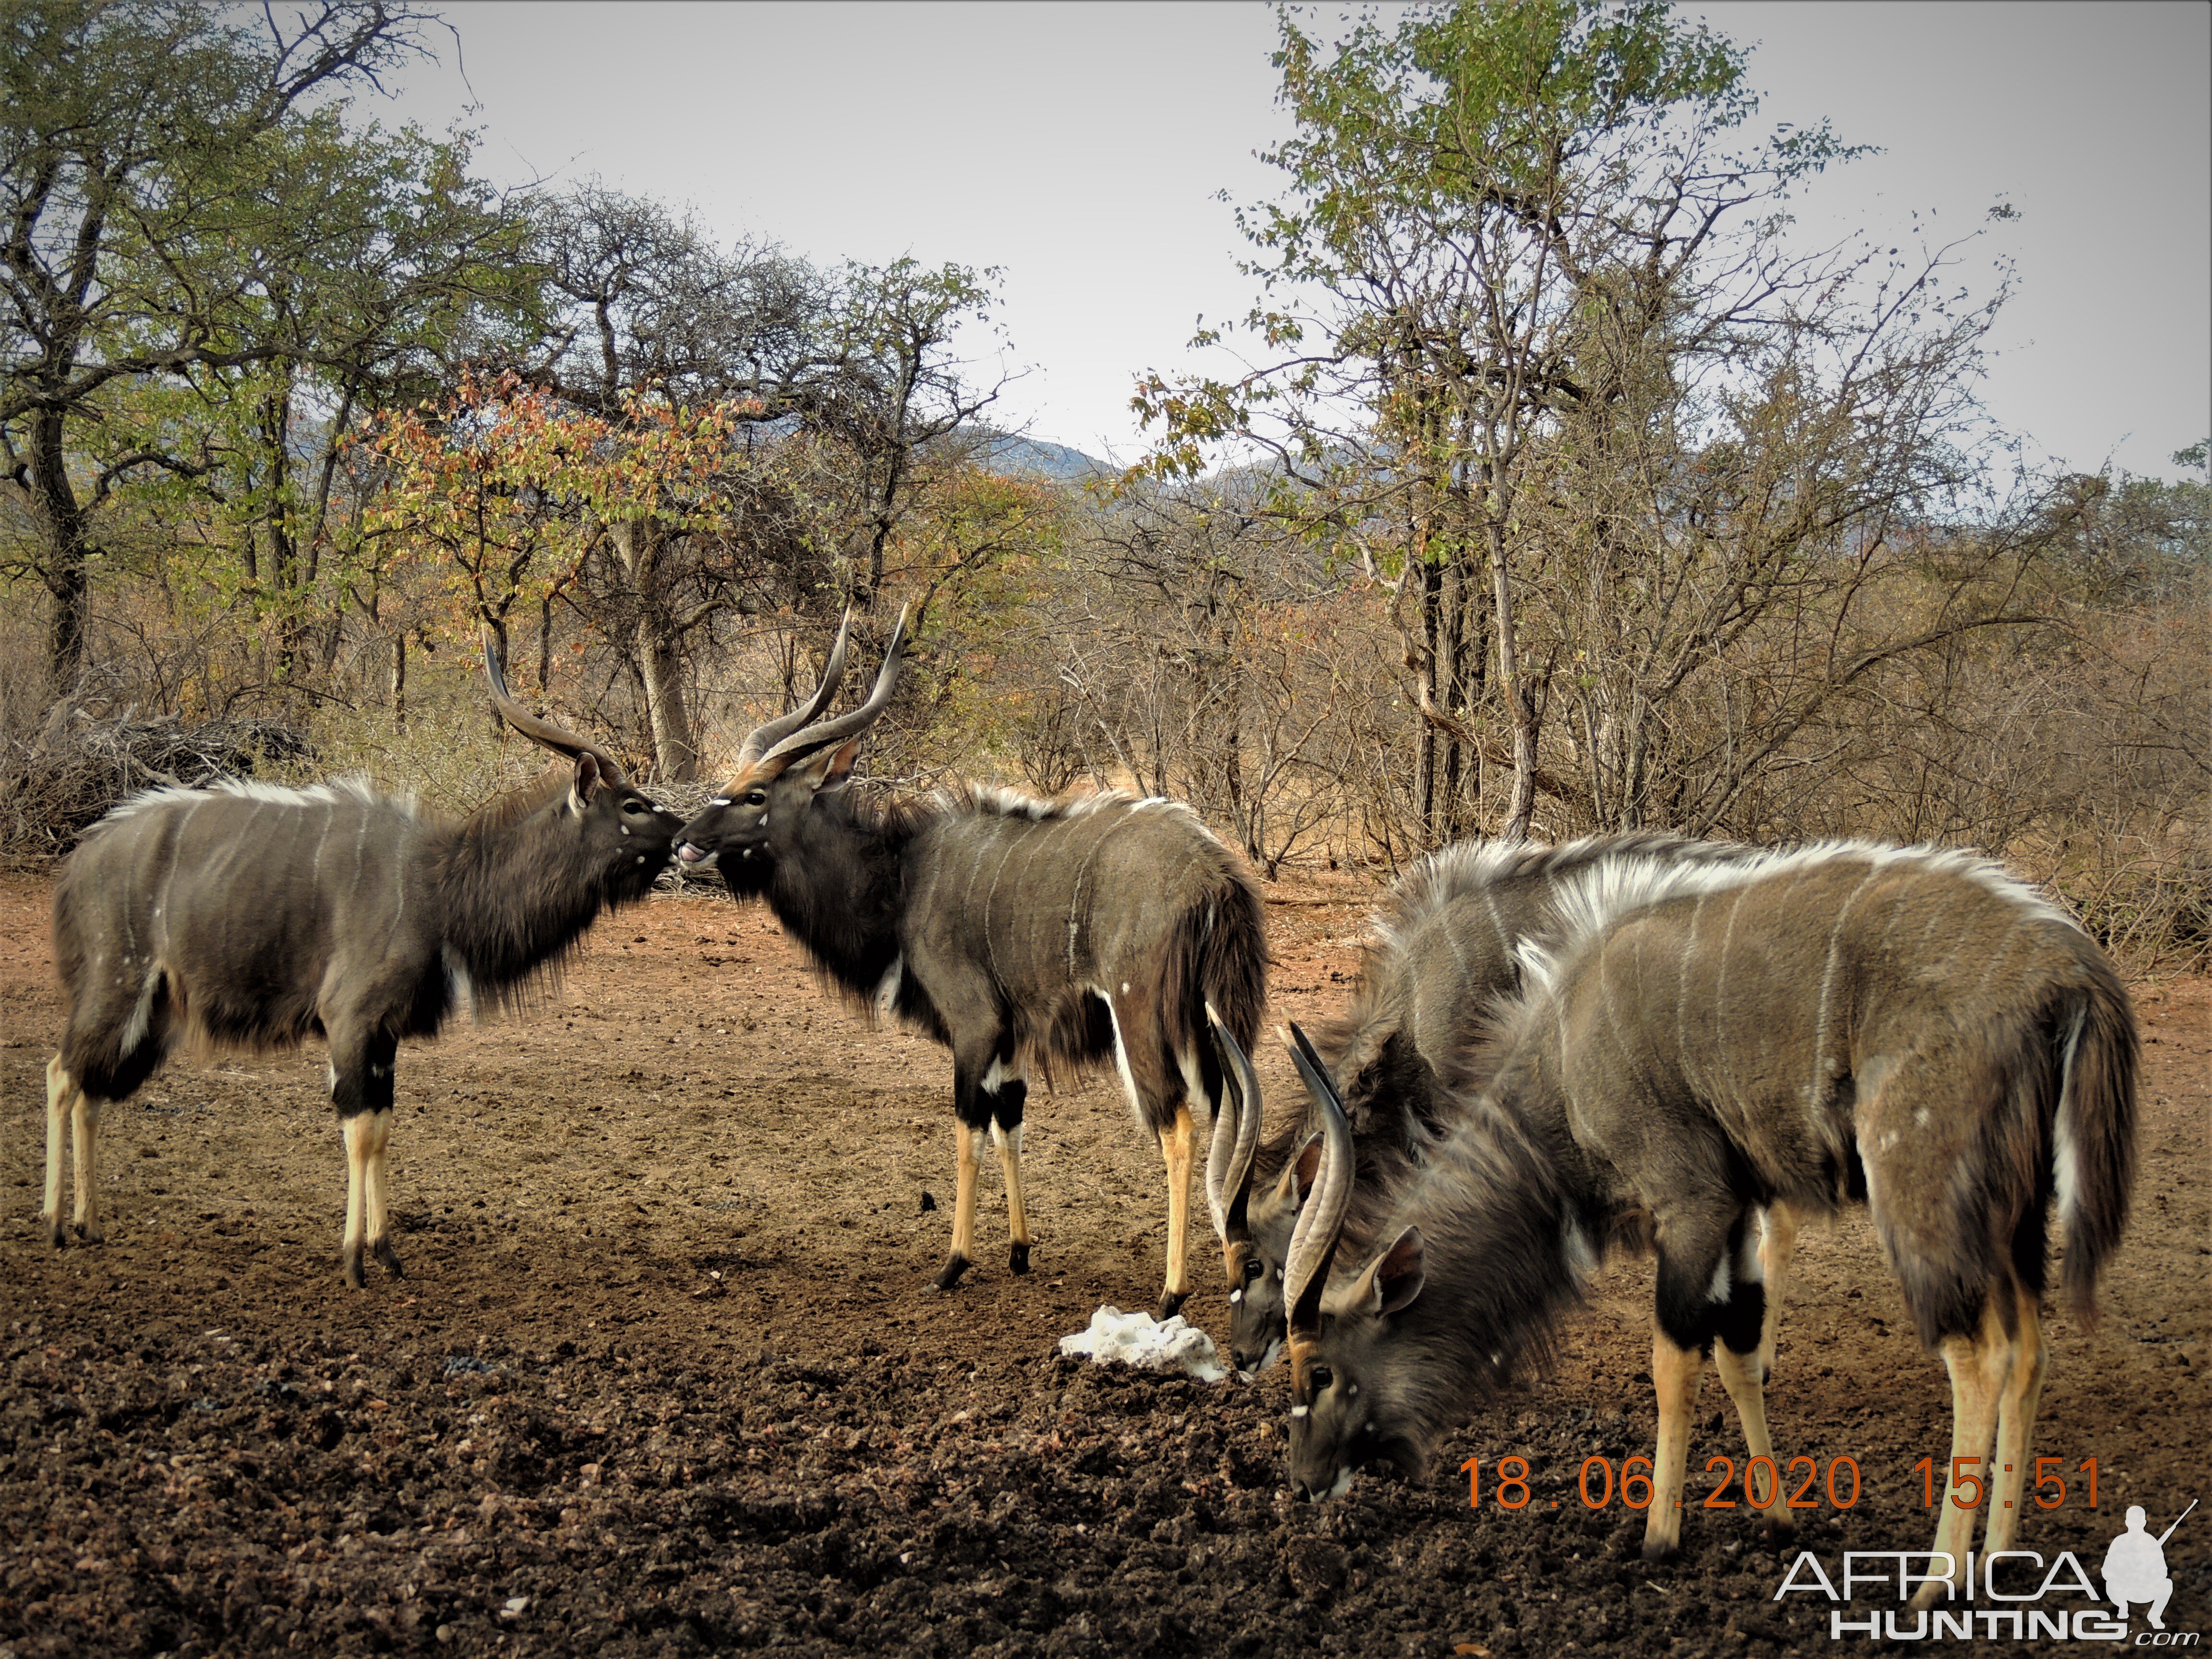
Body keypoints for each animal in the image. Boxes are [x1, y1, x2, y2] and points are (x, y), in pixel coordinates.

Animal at [45, 646, 681, 1283]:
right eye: (632, 805)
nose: (683, 835)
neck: (439, 886)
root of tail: (79, 862)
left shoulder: (384, 1033)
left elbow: (381, 1126)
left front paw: (387, 1252)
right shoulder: (350, 1018)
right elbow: (358, 1128)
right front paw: (354, 1260)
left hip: (151, 1015)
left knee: (91, 1088)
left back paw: (89, 1225)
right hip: (118, 986)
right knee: (62, 1073)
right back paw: (54, 1225)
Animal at [668, 606, 1265, 1318]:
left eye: (756, 795)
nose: (683, 841)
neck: (900, 880)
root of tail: (1213, 876)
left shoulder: (975, 1026)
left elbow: (967, 1129)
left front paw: (953, 1263)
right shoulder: (1010, 1038)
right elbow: (1010, 1120)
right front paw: (1019, 1251)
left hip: (1142, 1020)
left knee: (1177, 1125)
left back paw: (1173, 1291)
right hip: (1213, 1024)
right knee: (1234, 1117)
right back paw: (1234, 1273)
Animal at [1292, 845, 2132, 1610]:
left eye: (1323, 1370)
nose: (1304, 1479)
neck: (1563, 1053)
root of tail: (2072, 973)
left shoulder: (1690, 1204)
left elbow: (1673, 1362)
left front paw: (1659, 1539)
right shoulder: (1733, 1214)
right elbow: (1736, 1352)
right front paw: (1777, 1519)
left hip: (1919, 1191)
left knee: (1979, 1358)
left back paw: (1939, 1583)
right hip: (2016, 1218)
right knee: (2030, 1352)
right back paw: (2000, 1560)